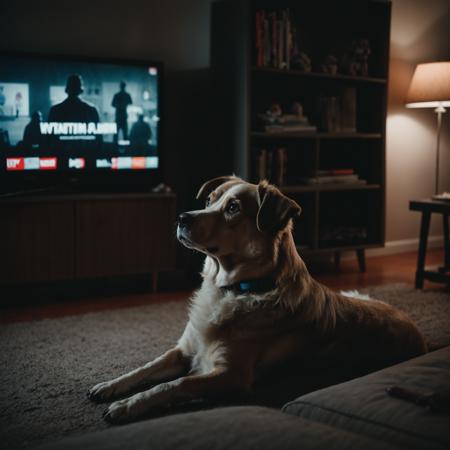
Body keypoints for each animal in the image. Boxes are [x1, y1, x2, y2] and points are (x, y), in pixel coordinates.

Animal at [89, 177, 428, 426]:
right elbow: (145, 369)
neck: (233, 289)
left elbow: (174, 384)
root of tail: (417, 332)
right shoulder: (184, 349)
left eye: (233, 208)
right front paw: (110, 386)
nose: (182, 217)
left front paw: (126, 406)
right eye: (209, 200)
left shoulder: (231, 376)